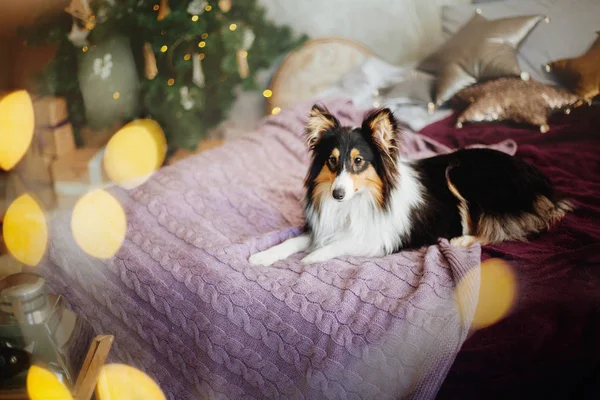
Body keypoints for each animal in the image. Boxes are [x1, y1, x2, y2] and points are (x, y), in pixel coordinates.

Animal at [248, 104, 572, 266]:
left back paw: (461, 241)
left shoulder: (382, 238)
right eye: (331, 160)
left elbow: (340, 243)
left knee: (496, 229)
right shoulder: (323, 227)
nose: (337, 194)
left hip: (460, 172)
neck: (360, 201)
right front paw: (262, 257)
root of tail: (540, 180)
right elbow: (292, 241)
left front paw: (311, 258)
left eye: (358, 161)